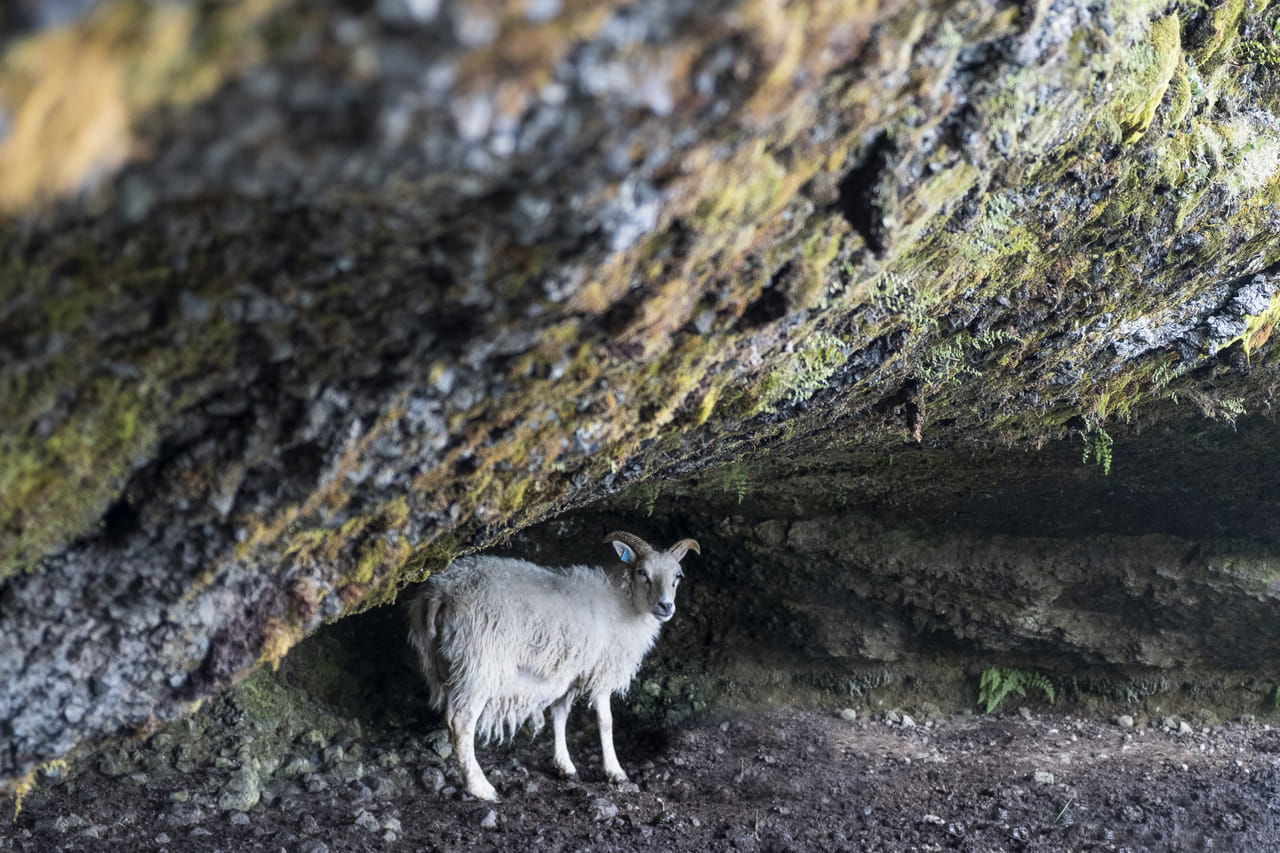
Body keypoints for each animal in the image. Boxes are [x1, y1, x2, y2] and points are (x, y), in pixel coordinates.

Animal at [408, 530, 700, 802]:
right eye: (642, 572)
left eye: (678, 576)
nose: (666, 606)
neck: (624, 602)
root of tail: (442, 592)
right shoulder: (602, 670)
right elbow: (606, 721)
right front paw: (615, 771)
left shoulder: (569, 673)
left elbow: (560, 715)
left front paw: (565, 766)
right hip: (479, 664)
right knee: (462, 721)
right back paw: (479, 787)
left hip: (445, 664)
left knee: (450, 717)